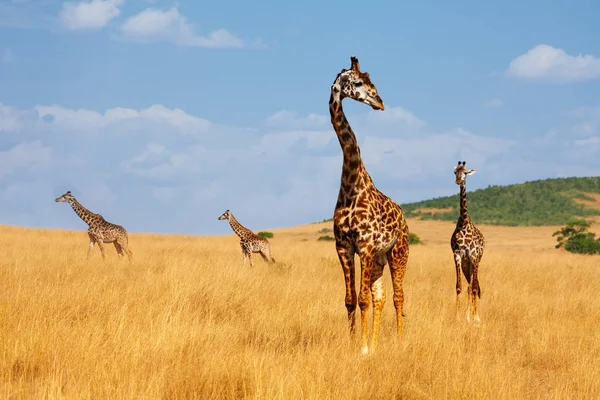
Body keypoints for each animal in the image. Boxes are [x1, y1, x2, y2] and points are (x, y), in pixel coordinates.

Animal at [330, 55, 410, 354]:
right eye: (357, 83)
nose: (380, 102)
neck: (351, 183)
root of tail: (404, 218)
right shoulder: (343, 246)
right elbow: (351, 299)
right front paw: (356, 344)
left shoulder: (363, 245)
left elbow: (362, 299)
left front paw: (363, 349)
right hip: (378, 258)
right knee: (381, 297)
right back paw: (376, 343)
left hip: (399, 252)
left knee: (398, 296)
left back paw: (400, 341)